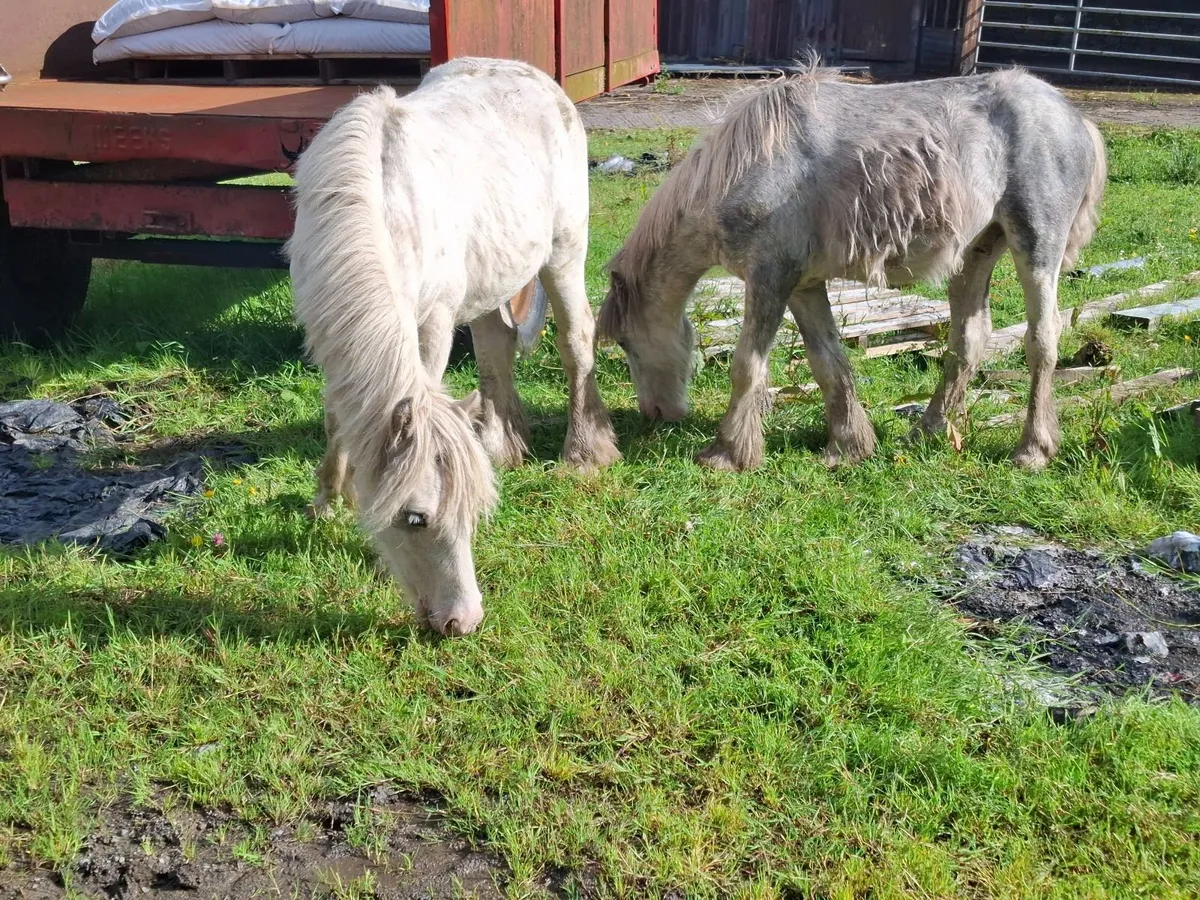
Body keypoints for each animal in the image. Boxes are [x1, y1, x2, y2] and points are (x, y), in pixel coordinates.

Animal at [288, 57, 620, 637]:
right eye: (415, 518)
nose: (463, 621)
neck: (377, 204)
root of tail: (537, 76)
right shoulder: (326, 333)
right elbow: (337, 416)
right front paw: (329, 499)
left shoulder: (433, 323)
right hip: (491, 279)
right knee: (496, 350)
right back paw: (502, 445)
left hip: (563, 252)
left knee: (576, 339)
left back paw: (582, 454)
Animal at [597, 64, 1107, 472]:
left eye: (625, 342)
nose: (655, 414)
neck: (745, 165)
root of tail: (1076, 118)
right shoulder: (803, 285)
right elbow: (827, 361)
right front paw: (849, 446)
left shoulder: (769, 278)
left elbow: (747, 366)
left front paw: (728, 453)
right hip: (975, 254)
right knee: (969, 339)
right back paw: (928, 430)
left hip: (1036, 246)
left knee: (1042, 339)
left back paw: (1033, 450)